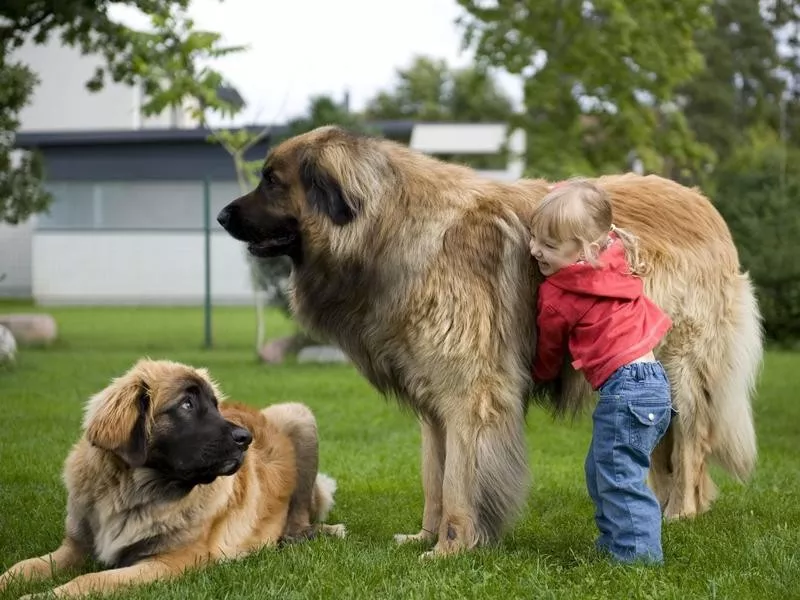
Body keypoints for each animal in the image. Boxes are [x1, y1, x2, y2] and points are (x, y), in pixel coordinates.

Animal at [0, 358, 344, 596]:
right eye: (187, 404)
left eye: (215, 406)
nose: (246, 438)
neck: (132, 491)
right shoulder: (75, 548)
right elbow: (23, 567)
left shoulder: (168, 561)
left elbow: (89, 580)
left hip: (298, 415)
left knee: (299, 518)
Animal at [214, 125, 764, 556]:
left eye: (272, 180)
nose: (220, 216)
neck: (388, 227)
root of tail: (703, 203)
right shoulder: (434, 403)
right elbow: (435, 478)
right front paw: (426, 536)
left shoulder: (471, 394)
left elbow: (461, 480)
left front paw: (452, 548)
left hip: (678, 367)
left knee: (691, 442)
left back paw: (680, 512)